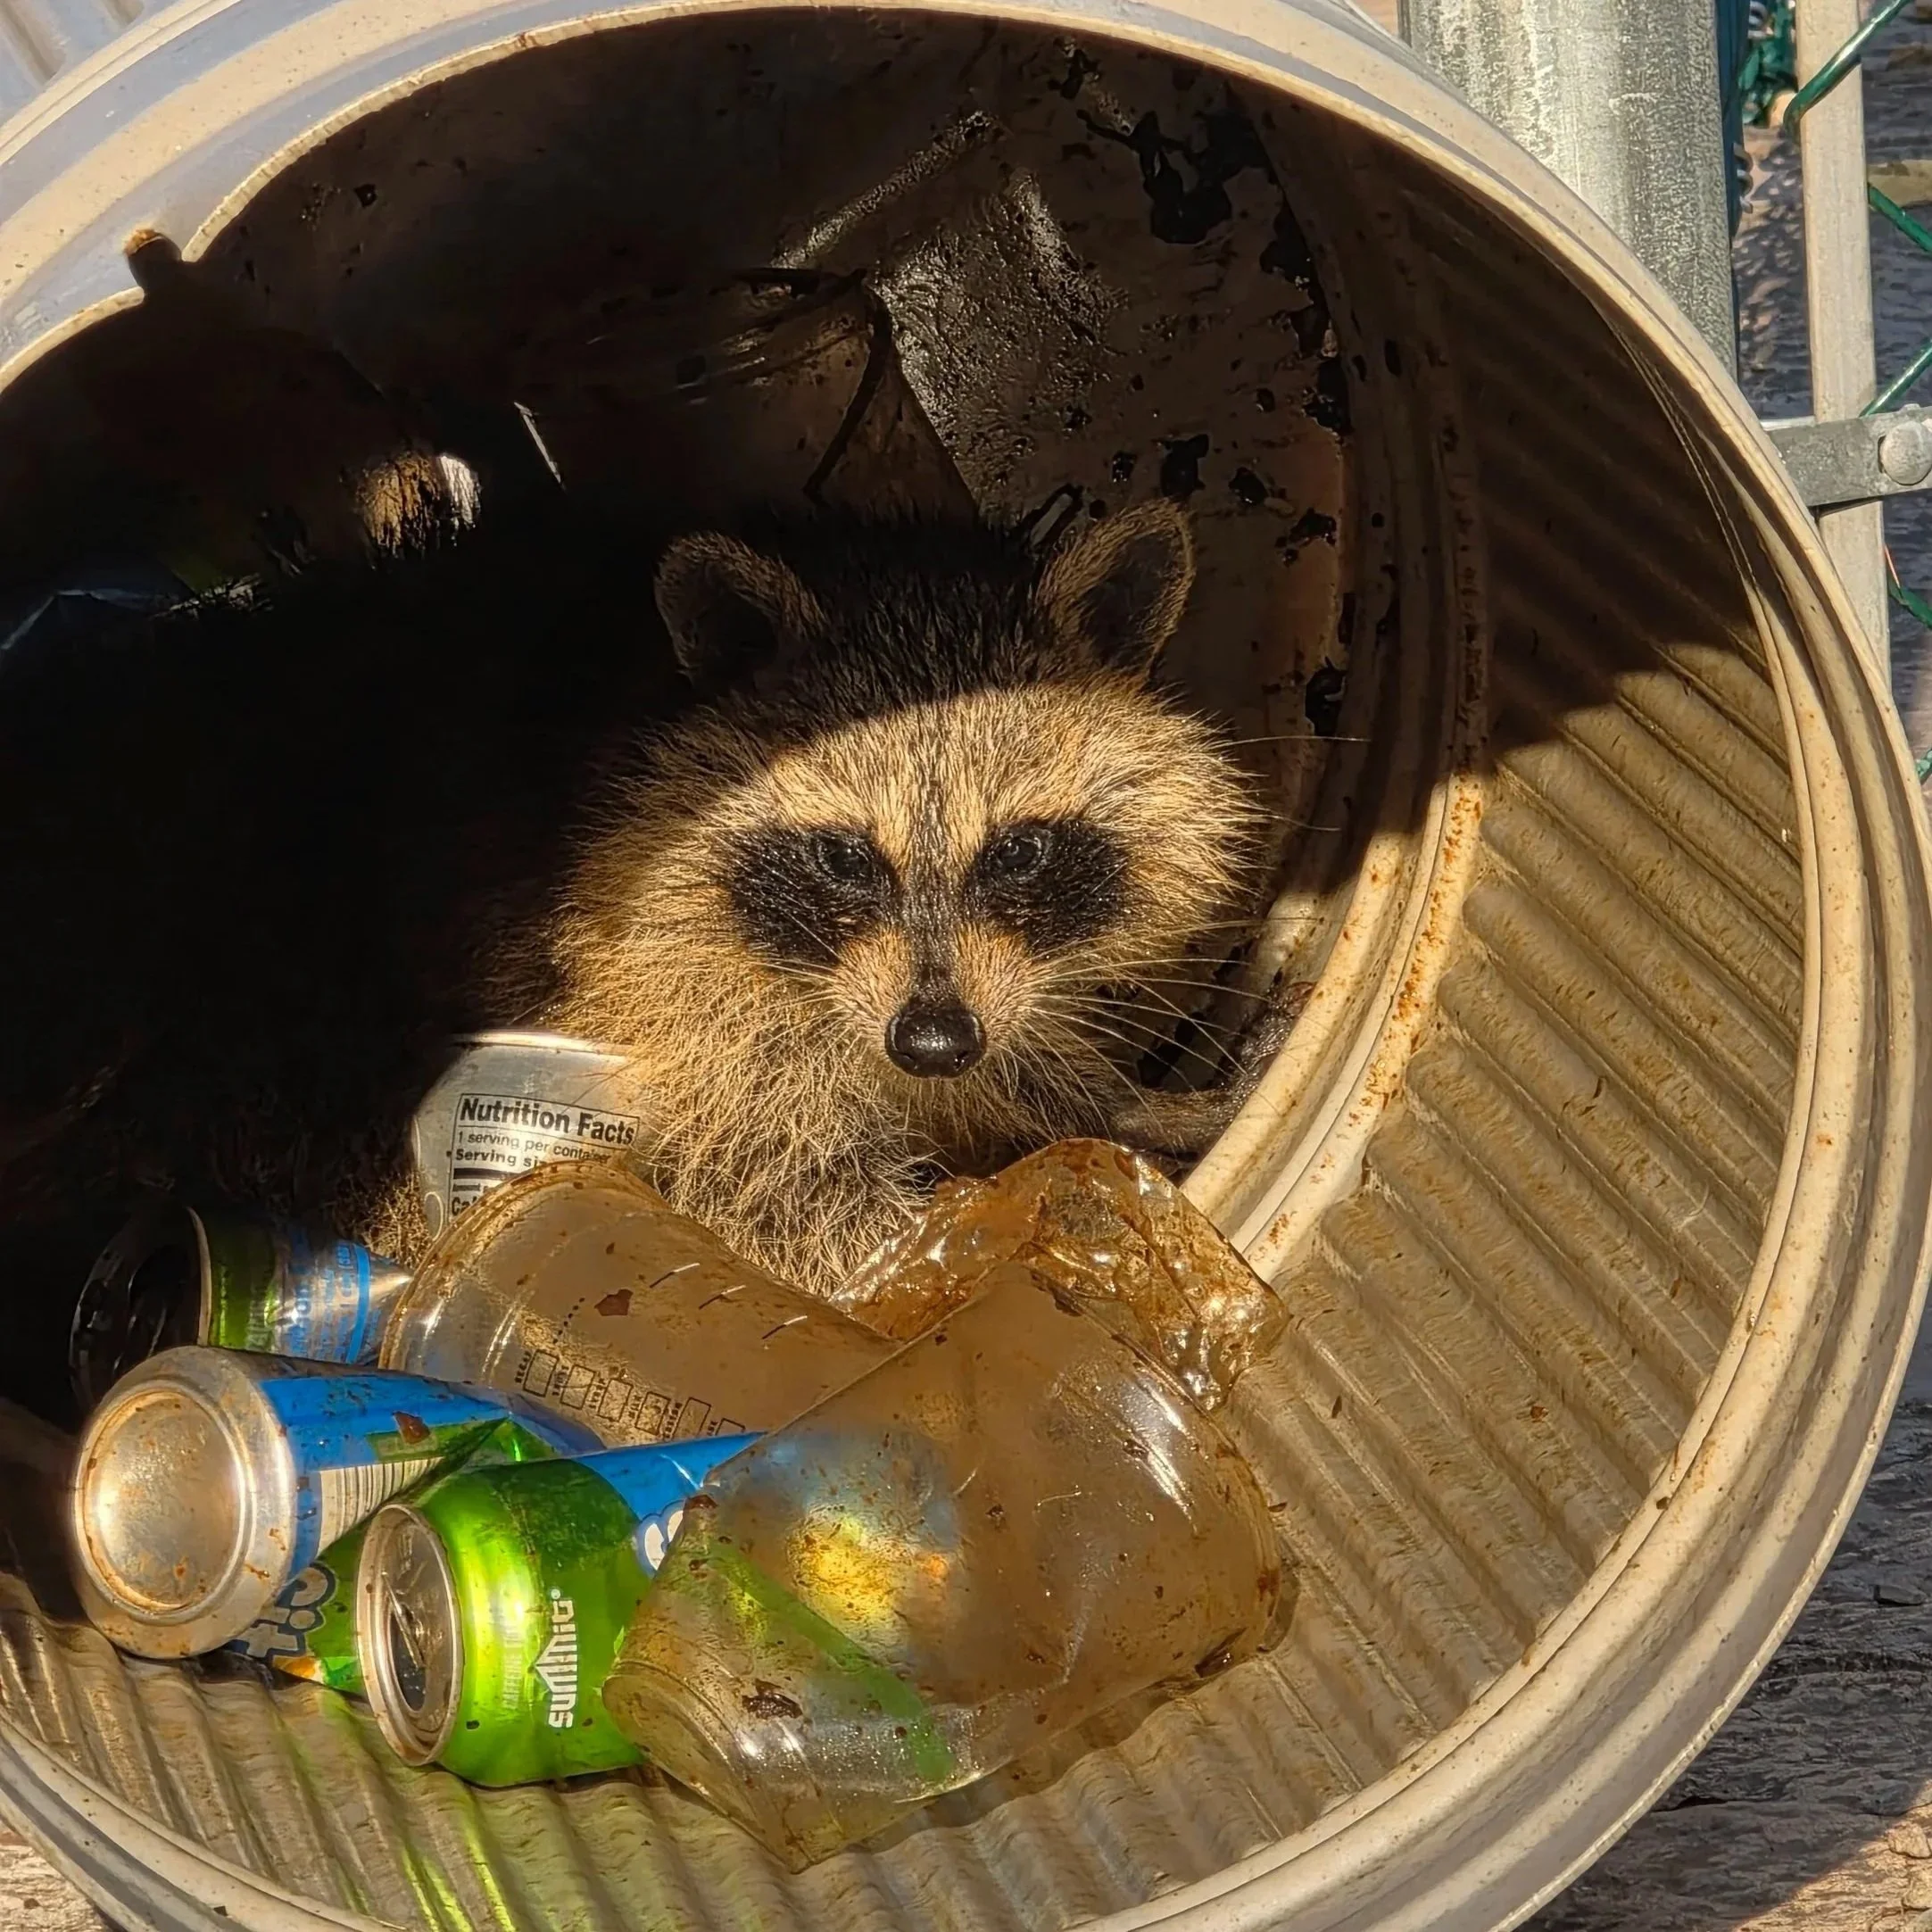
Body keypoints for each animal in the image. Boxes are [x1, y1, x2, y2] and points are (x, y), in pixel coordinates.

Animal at [467, 499, 1286, 1290]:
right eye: (843, 857)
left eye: (1018, 851)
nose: (933, 1044)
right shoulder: (664, 998)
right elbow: (778, 1194)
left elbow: (1023, 1066)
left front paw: (1134, 1110)